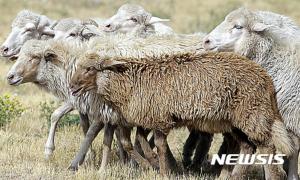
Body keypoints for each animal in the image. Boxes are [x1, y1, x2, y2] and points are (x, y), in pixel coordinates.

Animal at [69, 48, 292, 179]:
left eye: (89, 69)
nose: (72, 87)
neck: (129, 82)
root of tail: (266, 79)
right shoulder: (150, 117)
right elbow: (141, 141)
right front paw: (155, 165)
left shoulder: (160, 119)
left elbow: (157, 145)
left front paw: (163, 171)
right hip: (235, 120)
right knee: (247, 146)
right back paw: (233, 175)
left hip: (252, 113)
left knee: (266, 146)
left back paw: (271, 176)